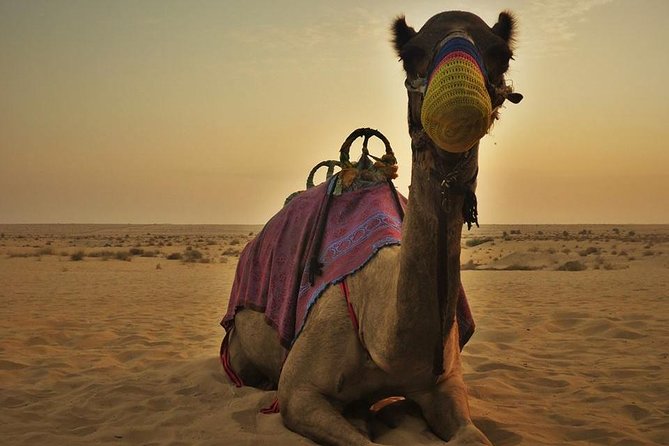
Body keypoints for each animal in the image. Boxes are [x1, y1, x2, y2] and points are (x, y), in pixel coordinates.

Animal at [224, 9, 522, 446]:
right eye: (410, 54)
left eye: (502, 54)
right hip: (237, 349)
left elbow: (474, 436)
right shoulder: (298, 393)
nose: (459, 105)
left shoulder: (446, 383)